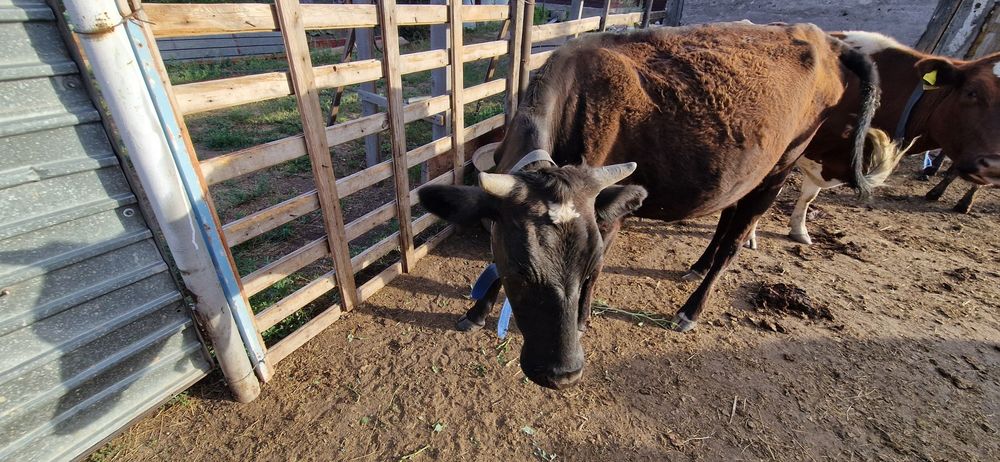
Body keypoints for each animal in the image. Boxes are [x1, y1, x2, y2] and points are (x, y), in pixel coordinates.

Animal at [418, 22, 879, 389]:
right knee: (728, 218)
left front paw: (582, 317)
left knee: (735, 241)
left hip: (782, 166)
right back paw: (698, 263)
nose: (562, 374)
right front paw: (476, 311)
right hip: (747, 172)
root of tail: (824, 39)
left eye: (586, 266)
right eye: (519, 270)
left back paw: (691, 308)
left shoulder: (608, 213)